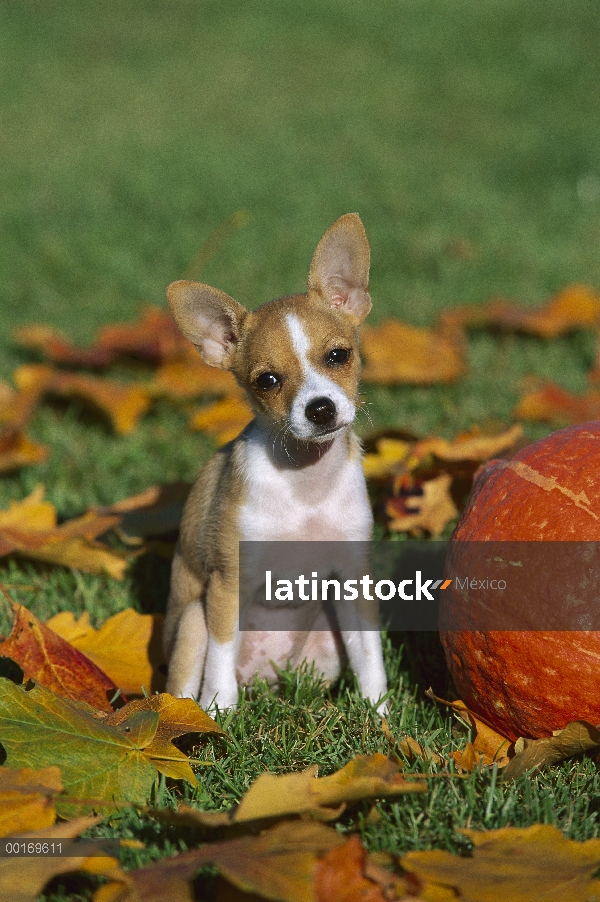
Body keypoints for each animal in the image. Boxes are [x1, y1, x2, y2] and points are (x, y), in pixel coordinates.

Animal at [163, 214, 390, 712]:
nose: (320, 408)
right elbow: (219, 668)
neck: (306, 483)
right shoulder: (228, 588)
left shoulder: (353, 583)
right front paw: (220, 717)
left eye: (338, 356)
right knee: (187, 684)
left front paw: (381, 718)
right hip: (192, 621)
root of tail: (264, 683)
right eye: (267, 381)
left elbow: (371, 660)